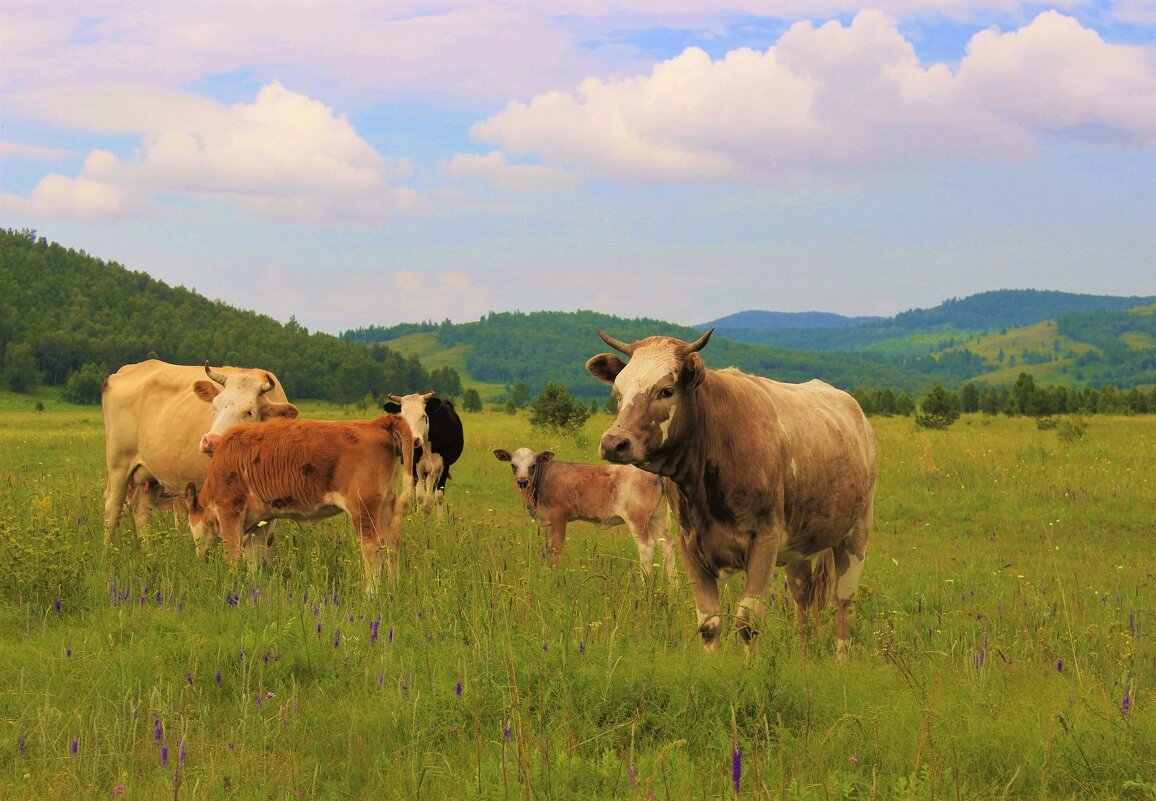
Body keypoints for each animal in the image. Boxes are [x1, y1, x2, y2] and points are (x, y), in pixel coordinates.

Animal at [101, 358, 298, 550]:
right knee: (113, 507)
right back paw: (107, 551)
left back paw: (148, 552)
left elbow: (261, 540)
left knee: (140, 510)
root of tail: (130, 368)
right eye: (214, 407)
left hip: (151, 474)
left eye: (249, 412)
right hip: (119, 465)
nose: (211, 441)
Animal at [182, 411, 413, 591]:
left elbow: (232, 553)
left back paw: (371, 594)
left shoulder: (229, 510)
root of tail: (378, 422)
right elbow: (253, 557)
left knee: (372, 546)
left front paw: (231, 585)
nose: (200, 558)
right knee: (392, 541)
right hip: (385, 505)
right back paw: (393, 587)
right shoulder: (259, 523)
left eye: (190, 524)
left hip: (363, 507)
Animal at [490, 446, 675, 577]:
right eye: (513, 466)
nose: (522, 482)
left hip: (637, 519)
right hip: (657, 517)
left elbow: (556, 547)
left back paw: (645, 585)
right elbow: (549, 547)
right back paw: (673, 587)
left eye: (532, 465)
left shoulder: (559, 515)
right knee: (667, 546)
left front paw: (555, 575)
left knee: (646, 546)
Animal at [587, 328, 873, 661]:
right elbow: (709, 623)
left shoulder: (765, 541)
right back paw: (803, 657)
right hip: (799, 545)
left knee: (843, 600)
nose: (613, 443)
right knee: (803, 596)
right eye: (617, 393)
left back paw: (842, 660)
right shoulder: (689, 544)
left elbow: (747, 623)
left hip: (856, 533)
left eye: (666, 391)